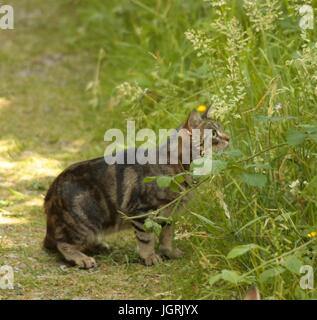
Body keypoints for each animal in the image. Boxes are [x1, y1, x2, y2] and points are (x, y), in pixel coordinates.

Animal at [43, 109, 228, 268]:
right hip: (85, 221)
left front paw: (169, 252)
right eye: (214, 133)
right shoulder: (141, 210)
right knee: (62, 244)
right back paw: (83, 258)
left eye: (222, 129)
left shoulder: (170, 213)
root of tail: (52, 192)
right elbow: (146, 238)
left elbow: (167, 235)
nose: (229, 138)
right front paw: (150, 257)